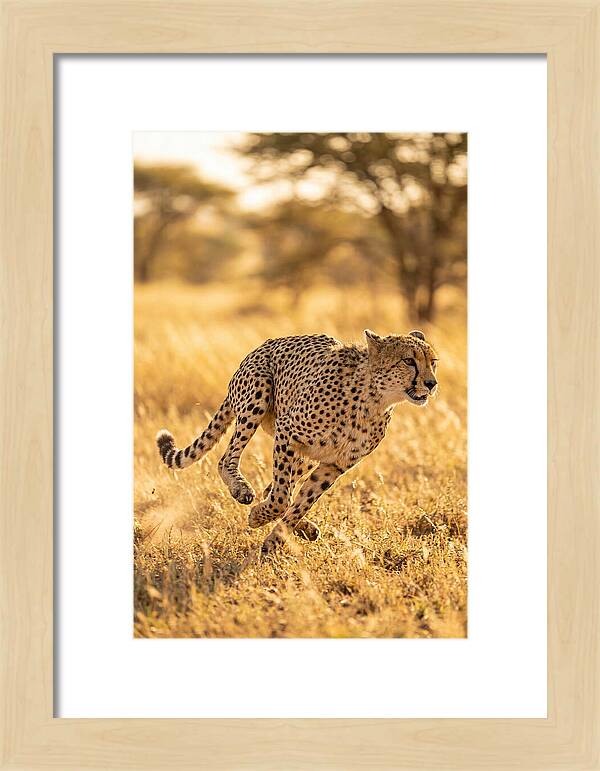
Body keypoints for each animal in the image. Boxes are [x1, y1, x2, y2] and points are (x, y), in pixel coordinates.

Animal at [156, 329, 438, 554]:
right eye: (409, 361)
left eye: (433, 362)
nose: (431, 383)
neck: (374, 400)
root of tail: (262, 346)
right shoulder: (287, 432)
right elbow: (282, 498)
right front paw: (258, 517)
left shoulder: (334, 465)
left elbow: (301, 501)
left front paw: (275, 539)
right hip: (258, 396)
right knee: (228, 460)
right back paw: (242, 490)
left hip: (306, 455)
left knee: (275, 488)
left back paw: (304, 528)